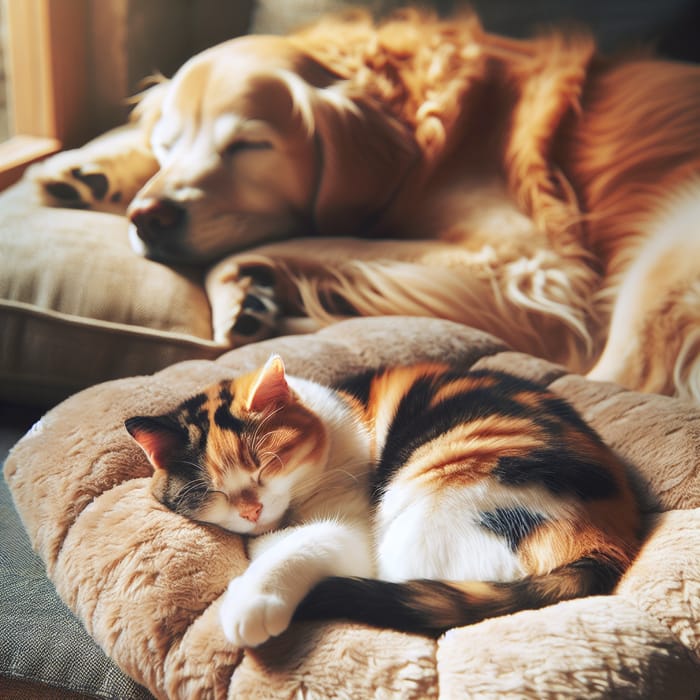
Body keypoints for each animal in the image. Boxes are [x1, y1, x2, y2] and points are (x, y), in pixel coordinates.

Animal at [32, 10, 700, 402]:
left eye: (249, 146)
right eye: (169, 142)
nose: (149, 220)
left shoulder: (526, 262)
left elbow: (306, 240)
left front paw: (240, 289)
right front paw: (87, 170)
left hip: (664, 255)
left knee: (608, 371)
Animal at [124, 358, 640, 648]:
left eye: (266, 466)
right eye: (210, 489)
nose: (251, 511)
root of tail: (608, 543)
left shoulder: (349, 531)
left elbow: (299, 545)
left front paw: (251, 601)